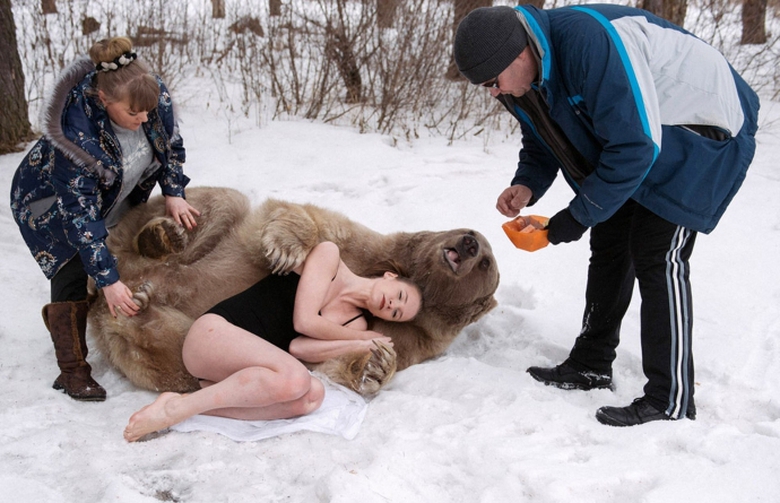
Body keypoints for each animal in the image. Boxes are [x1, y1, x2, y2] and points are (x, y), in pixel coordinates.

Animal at [87, 186, 500, 396]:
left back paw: (141, 303)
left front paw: (375, 366)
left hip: (147, 335)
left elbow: (323, 358)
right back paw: (161, 237)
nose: (469, 243)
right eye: (473, 235)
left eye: (486, 264)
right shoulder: (369, 248)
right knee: (217, 202)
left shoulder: (413, 336)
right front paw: (286, 248)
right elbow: (307, 222)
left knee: (173, 354)